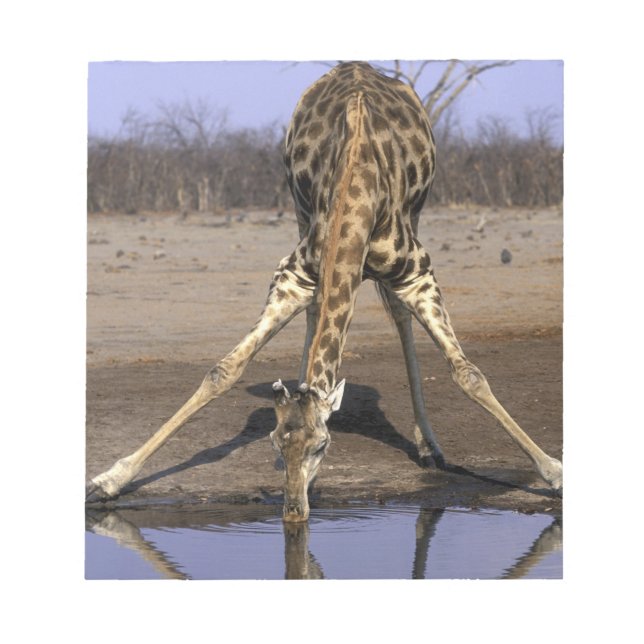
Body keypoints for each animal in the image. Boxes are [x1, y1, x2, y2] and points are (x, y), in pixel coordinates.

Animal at [86, 62, 563, 521]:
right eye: (276, 443)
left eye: (322, 445)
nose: (294, 513)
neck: (358, 184)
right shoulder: (293, 274)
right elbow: (224, 370)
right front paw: (108, 480)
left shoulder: (417, 273)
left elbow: (469, 375)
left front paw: (553, 471)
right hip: (298, 210)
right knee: (321, 310)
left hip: (415, 218)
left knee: (399, 317)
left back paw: (429, 446)